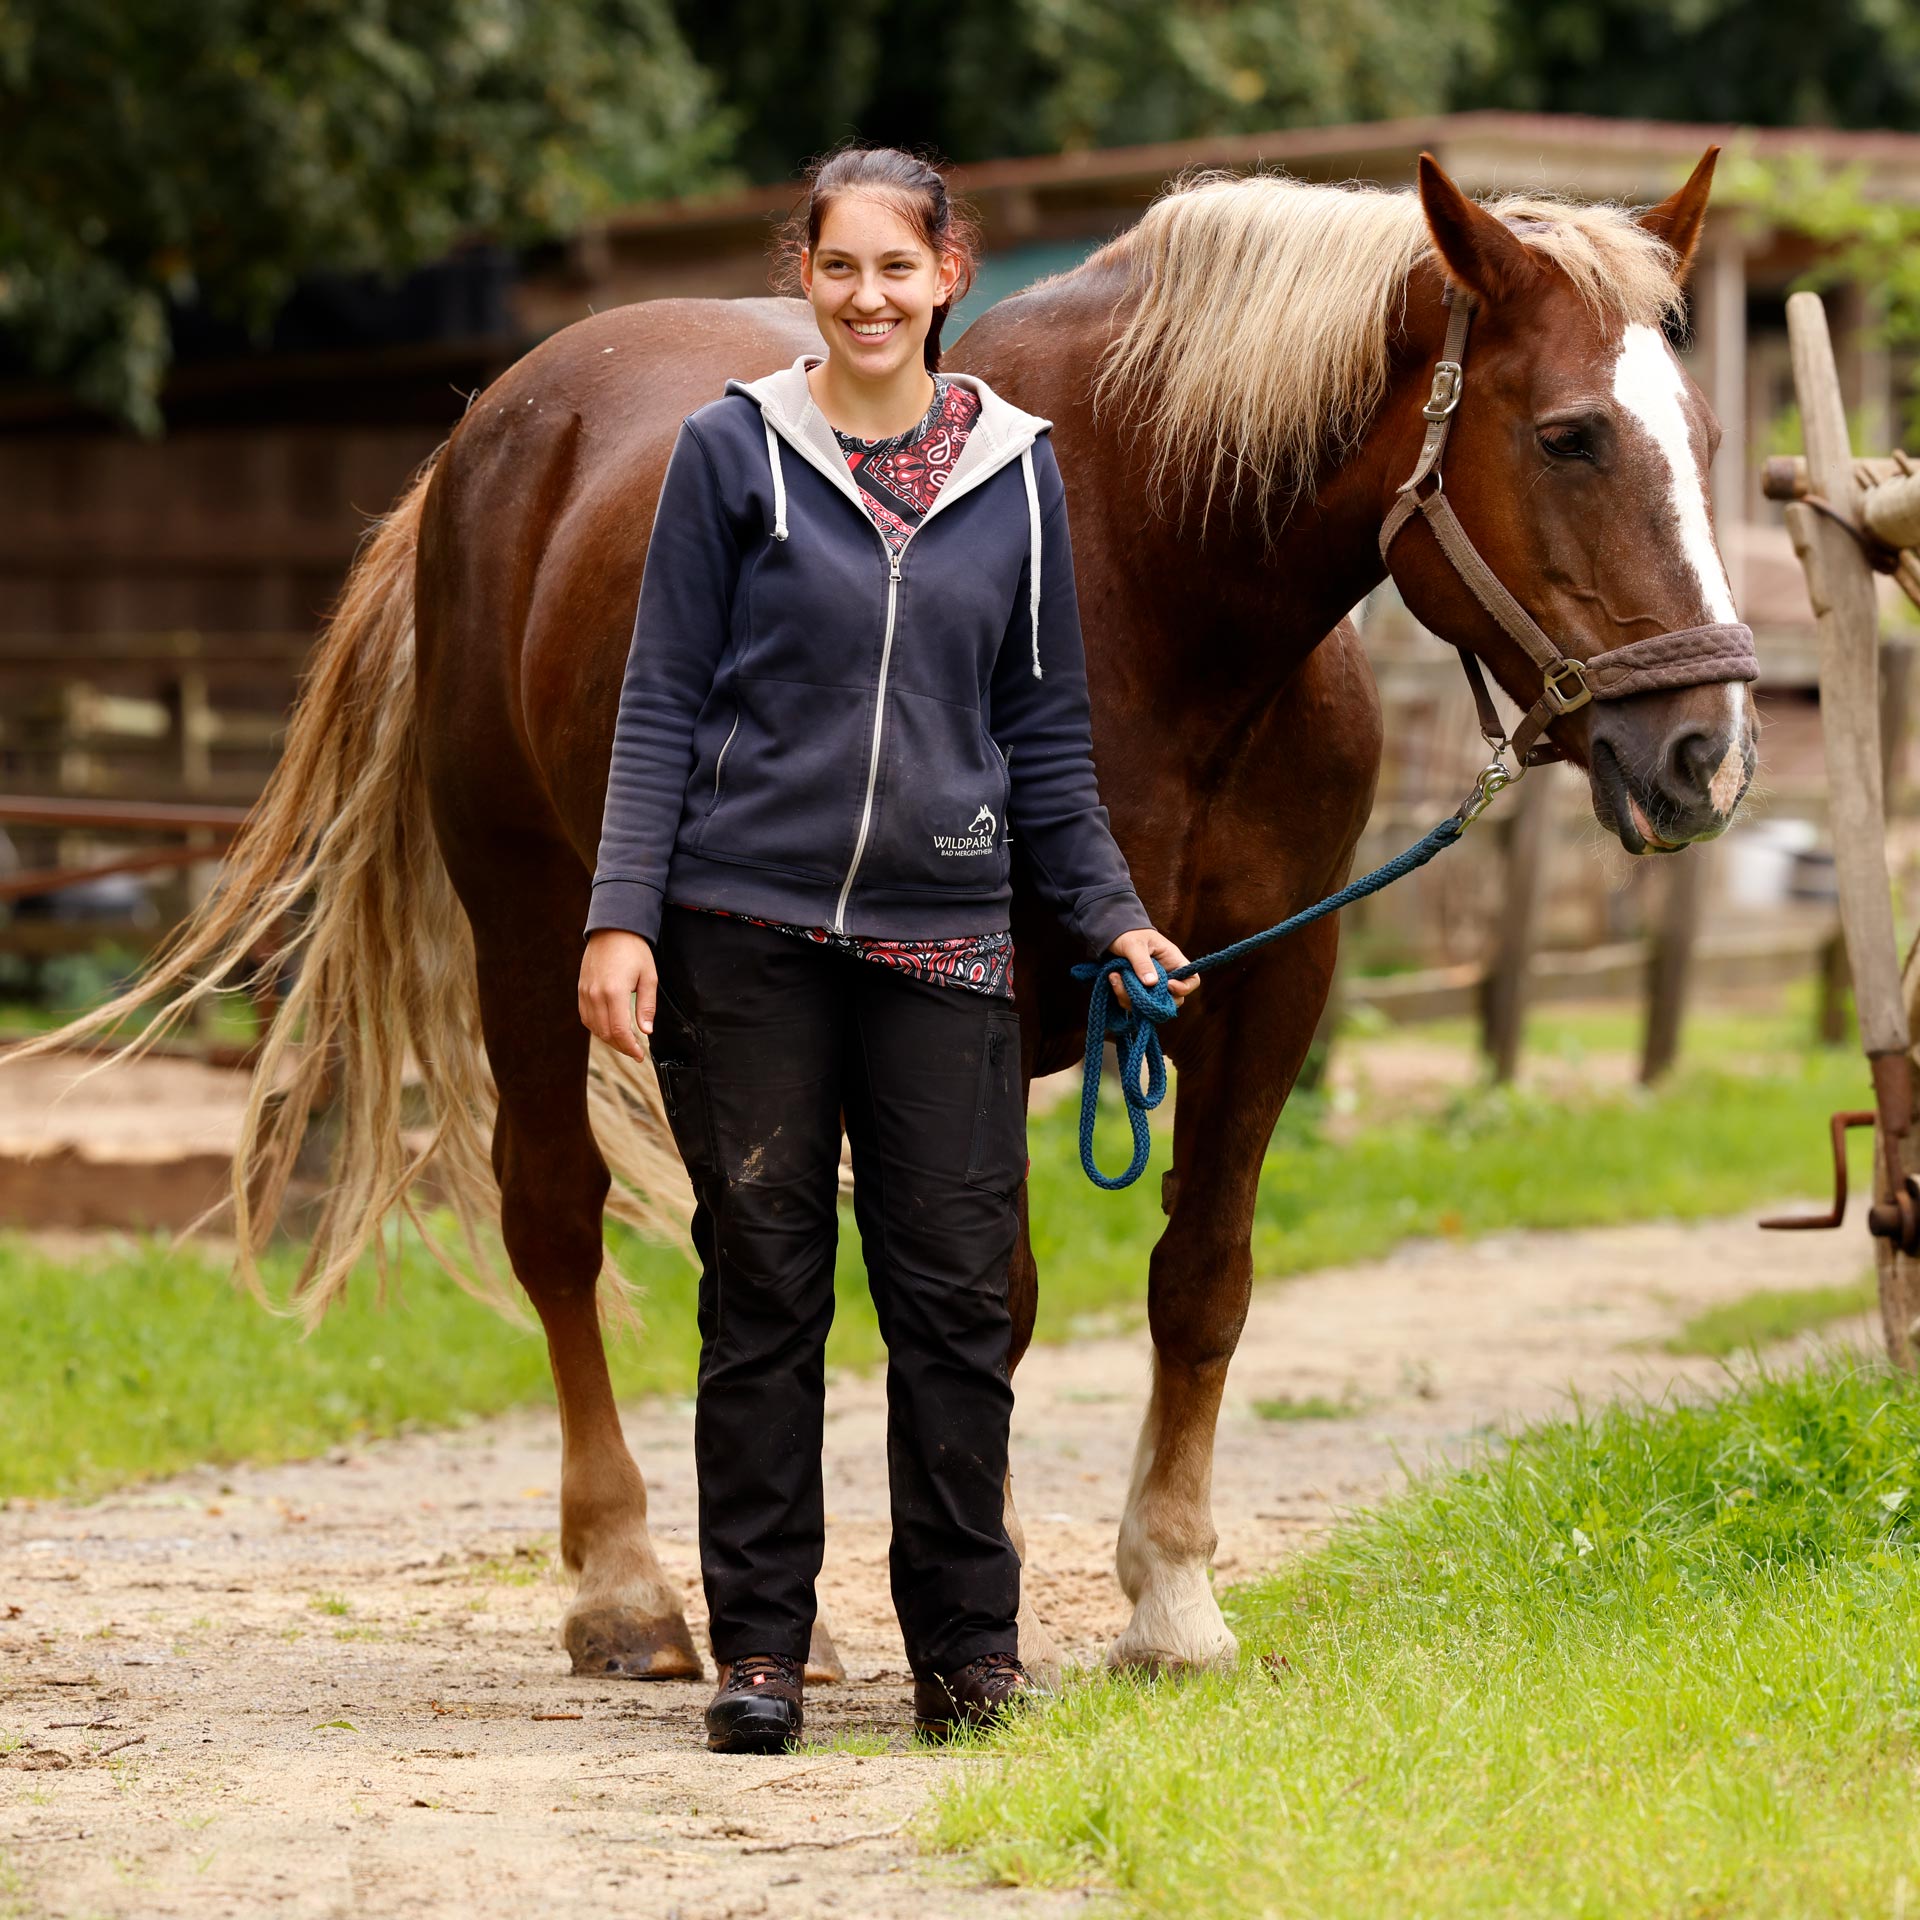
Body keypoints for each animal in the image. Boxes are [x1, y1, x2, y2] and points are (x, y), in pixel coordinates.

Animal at [31, 148, 1753, 1681]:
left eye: (1705, 431)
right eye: (1570, 437)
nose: (1706, 753)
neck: (1149, 578)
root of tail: (493, 434)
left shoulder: (1267, 986)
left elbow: (1199, 1280)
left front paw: (1170, 1604)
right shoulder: (991, 994)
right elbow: (988, 1302)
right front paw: (981, 1599)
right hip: (530, 930)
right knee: (556, 1224)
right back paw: (626, 1592)